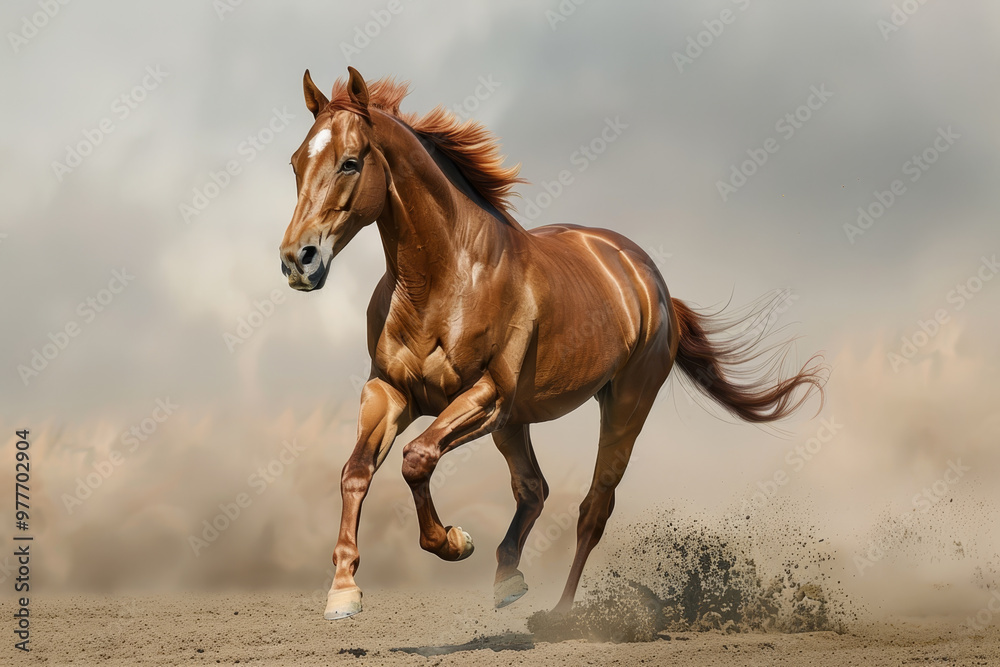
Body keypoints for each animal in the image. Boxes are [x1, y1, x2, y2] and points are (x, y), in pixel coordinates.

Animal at [278, 67, 826, 620]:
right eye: (296, 162)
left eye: (350, 162)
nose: (297, 260)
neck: (441, 281)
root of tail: (649, 279)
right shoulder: (390, 391)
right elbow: (356, 471)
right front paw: (343, 589)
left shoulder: (488, 395)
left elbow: (417, 458)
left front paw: (455, 541)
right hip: (516, 422)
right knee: (533, 489)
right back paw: (508, 581)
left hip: (622, 406)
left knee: (592, 508)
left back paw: (560, 614)